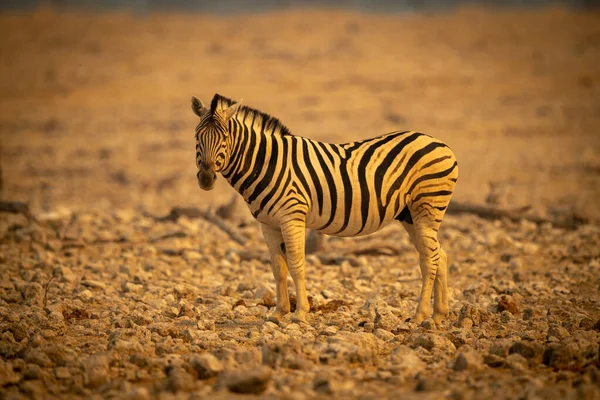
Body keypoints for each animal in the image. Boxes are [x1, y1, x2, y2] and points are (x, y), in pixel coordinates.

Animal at [192, 94, 460, 328]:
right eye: (197, 137)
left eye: (224, 138)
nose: (205, 178)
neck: (264, 163)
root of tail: (440, 143)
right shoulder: (267, 223)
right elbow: (278, 268)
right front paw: (278, 313)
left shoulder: (292, 216)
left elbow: (296, 264)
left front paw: (300, 313)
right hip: (409, 215)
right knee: (439, 255)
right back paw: (438, 315)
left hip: (427, 207)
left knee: (429, 260)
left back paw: (420, 316)